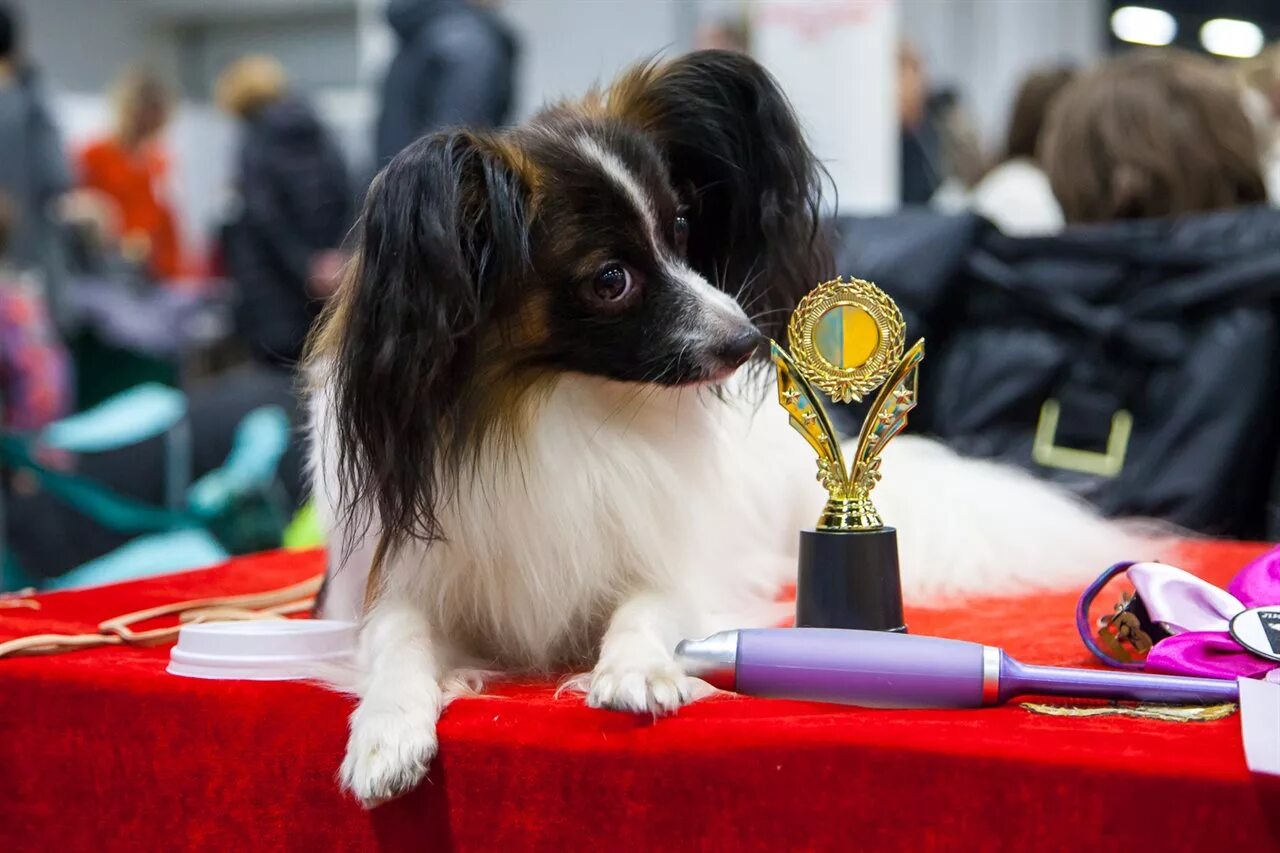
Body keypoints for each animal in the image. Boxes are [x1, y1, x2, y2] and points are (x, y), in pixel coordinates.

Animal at [307, 49, 1152, 799]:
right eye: (610, 280)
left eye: (682, 226)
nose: (748, 340)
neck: (555, 400)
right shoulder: (402, 579)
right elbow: (395, 638)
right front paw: (386, 730)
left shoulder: (673, 566)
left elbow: (648, 607)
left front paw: (637, 667)